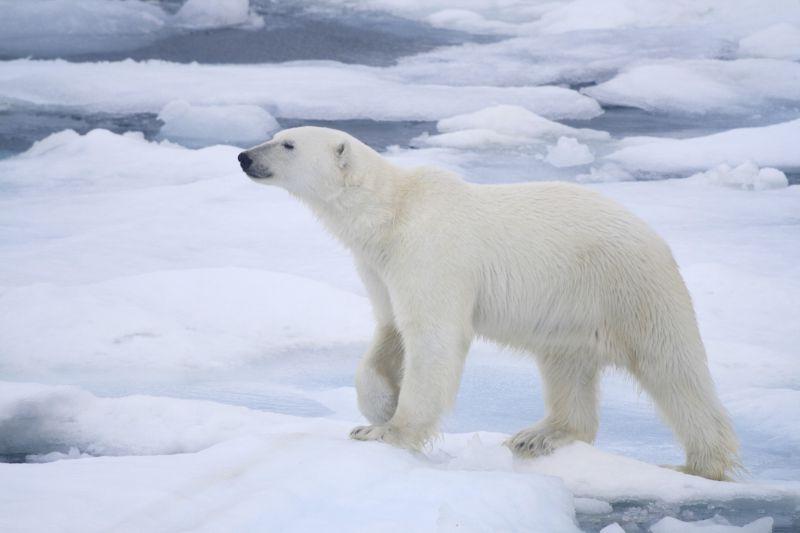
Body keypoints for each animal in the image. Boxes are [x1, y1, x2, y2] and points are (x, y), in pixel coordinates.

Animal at [241, 127, 740, 480]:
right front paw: (379, 407)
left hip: (628, 287)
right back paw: (541, 435)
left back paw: (700, 464)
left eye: (287, 143)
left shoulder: (431, 250)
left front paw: (387, 432)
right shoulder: (380, 265)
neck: (391, 211)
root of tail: (655, 238)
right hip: (572, 309)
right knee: (566, 367)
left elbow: (434, 336)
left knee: (672, 368)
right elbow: (390, 330)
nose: (244, 156)